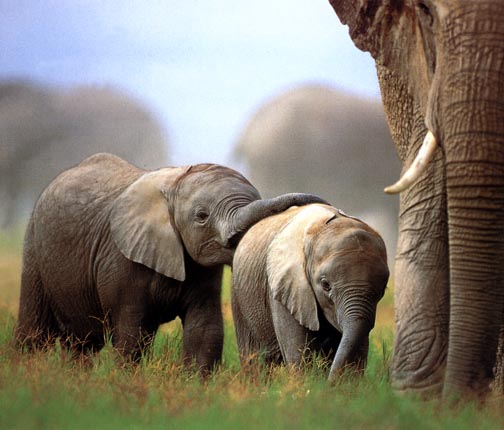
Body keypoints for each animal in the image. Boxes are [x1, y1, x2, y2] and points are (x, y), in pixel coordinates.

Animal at [16, 153, 326, 372]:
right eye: (201, 216)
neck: (174, 183)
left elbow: (204, 330)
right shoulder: (120, 259)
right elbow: (131, 334)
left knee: (83, 342)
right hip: (33, 245)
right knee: (35, 330)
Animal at [232, 202, 390, 380]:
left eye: (383, 290)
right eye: (326, 285)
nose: (329, 383)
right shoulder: (284, 288)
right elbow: (300, 357)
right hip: (239, 298)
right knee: (254, 361)